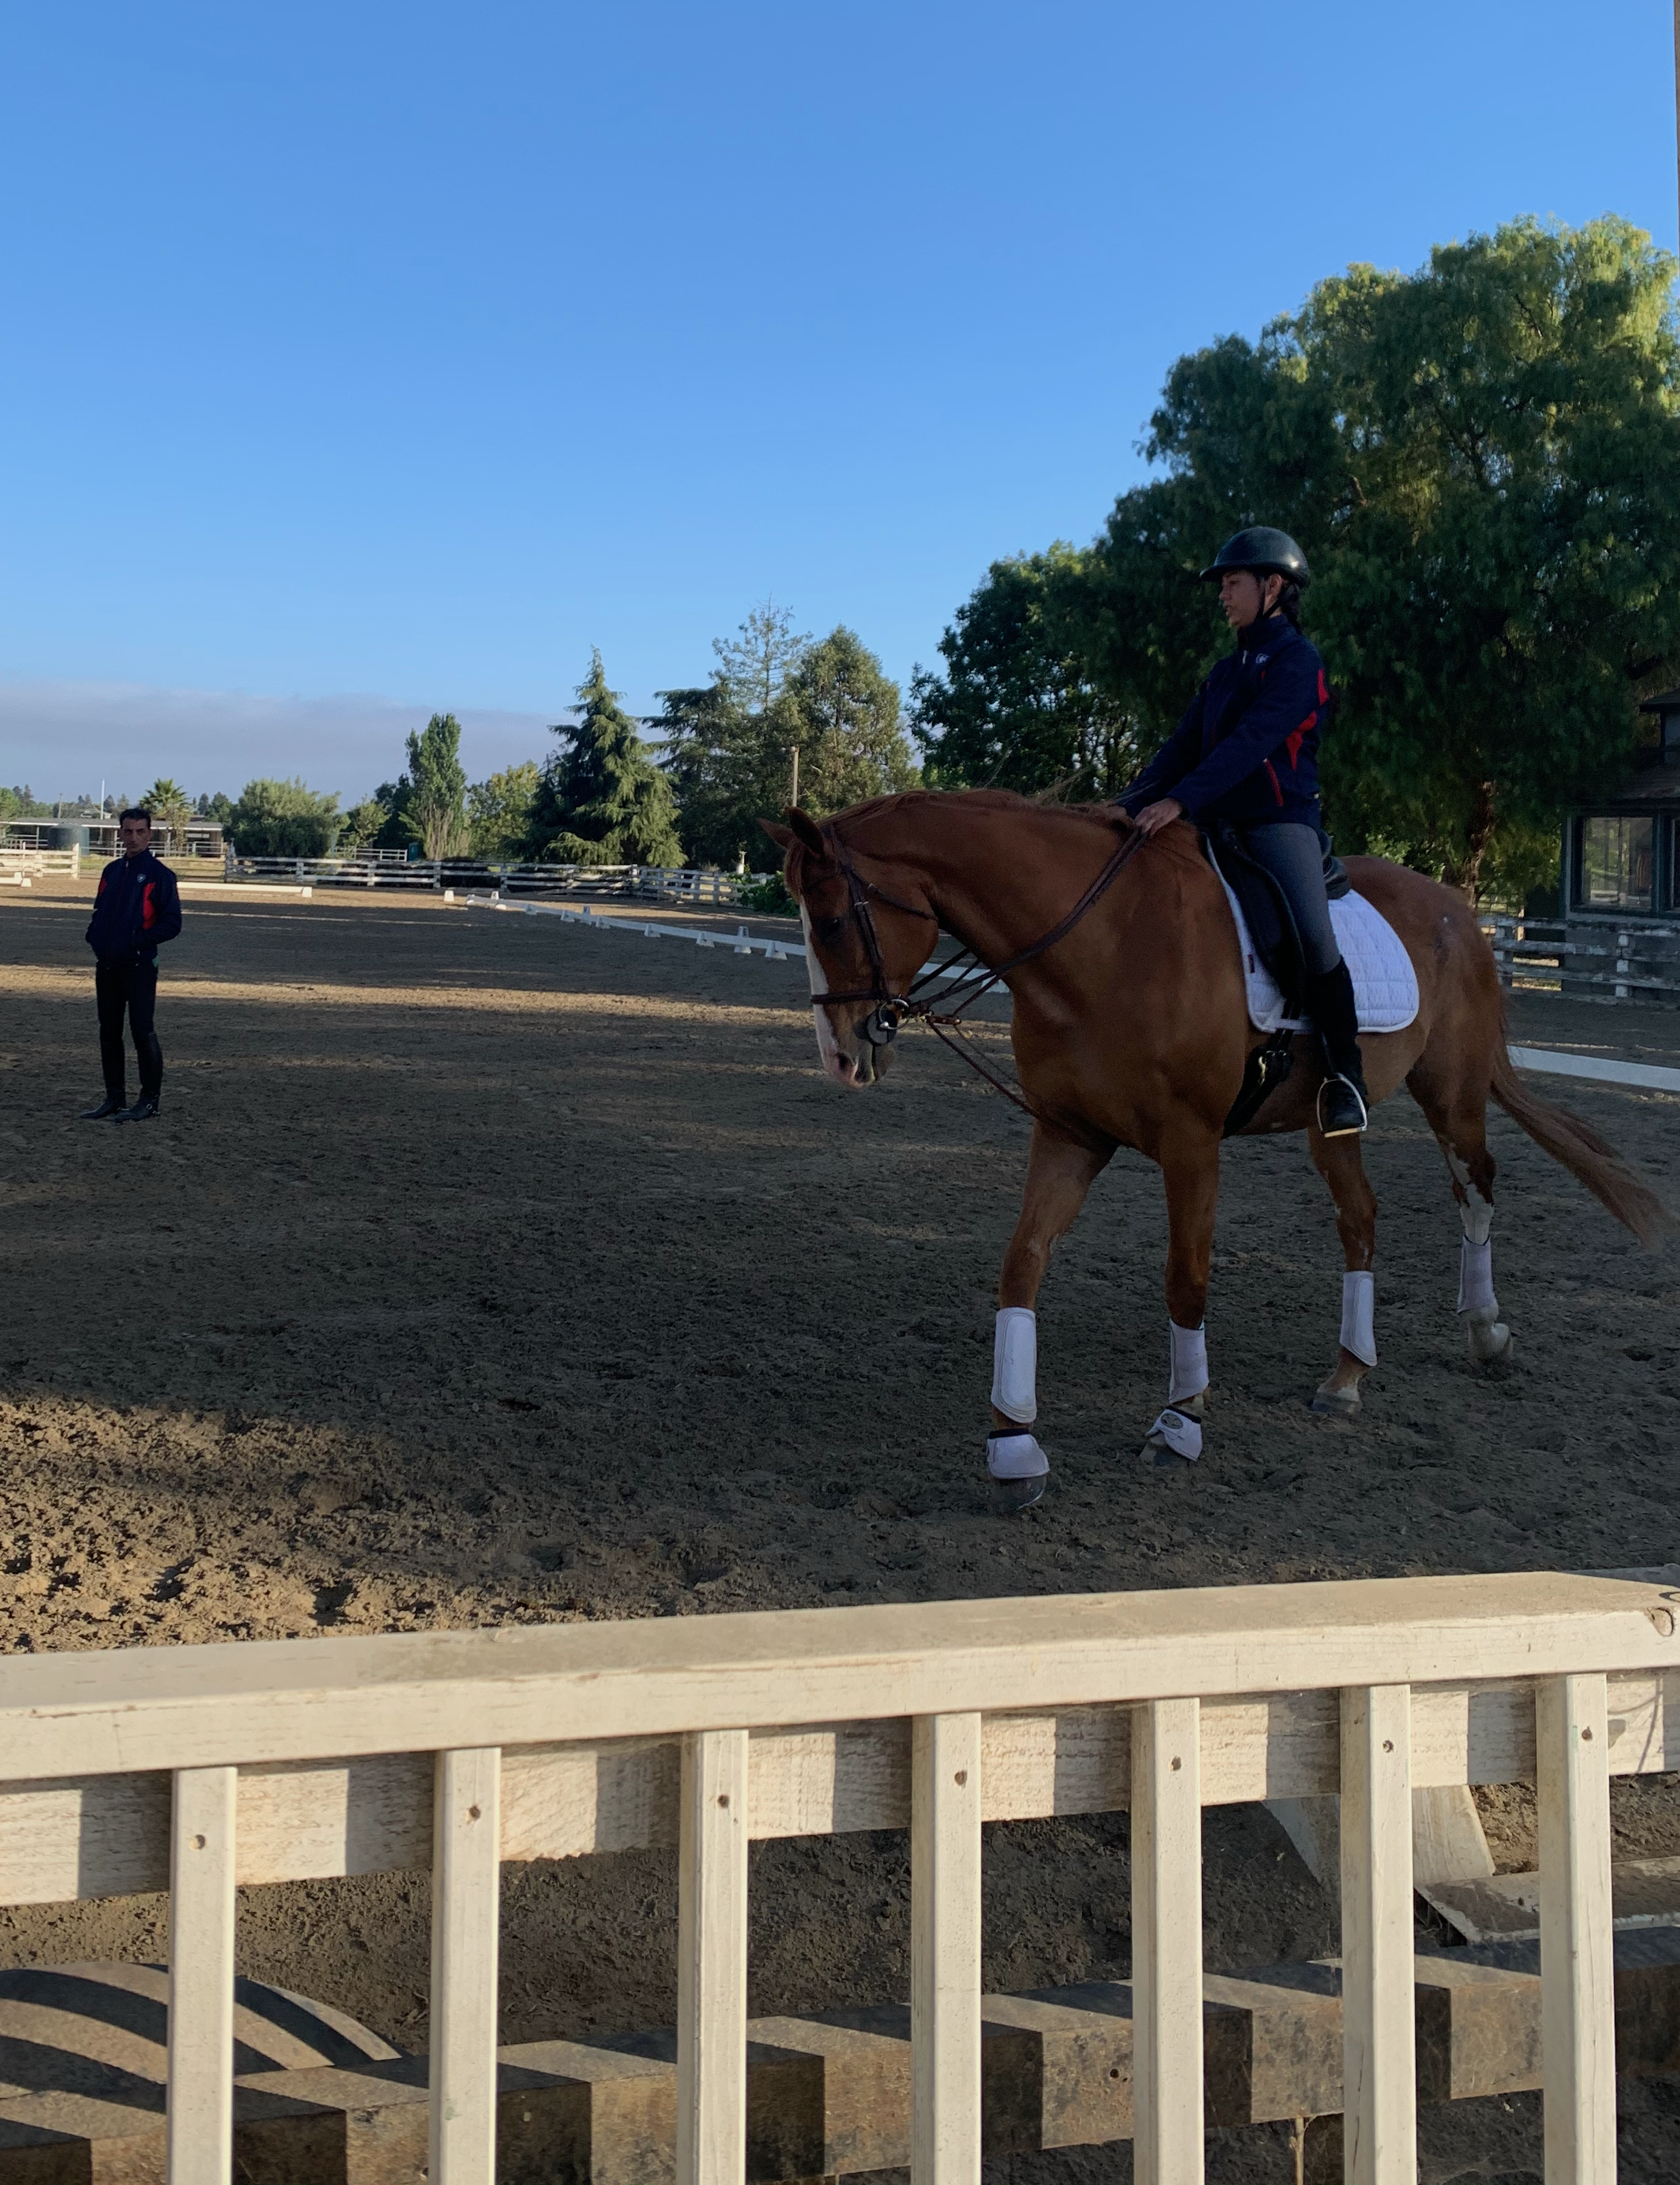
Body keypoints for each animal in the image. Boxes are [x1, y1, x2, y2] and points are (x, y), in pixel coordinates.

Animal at [769, 795, 1668, 1511]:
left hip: (1450, 1094)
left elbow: (1186, 1276)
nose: (840, 1056)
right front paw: (1013, 1447)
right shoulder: (1068, 1136)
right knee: (1360, 1218)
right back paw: (1346, 1376)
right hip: (1330, 1120)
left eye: (836, 918)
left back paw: (1484, 1331)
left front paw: (1180, 1421)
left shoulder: (1190, 1143)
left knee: (1475, 1184)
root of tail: (1457, 911)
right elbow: (1020, 1266)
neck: (1101, 942)